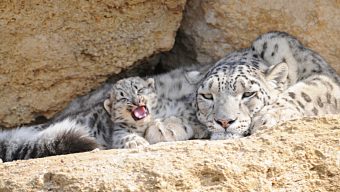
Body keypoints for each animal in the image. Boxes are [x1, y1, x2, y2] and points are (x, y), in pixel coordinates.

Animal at [195, 31, 338, 140]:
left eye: (248, 93)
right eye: (207, 96)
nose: (224, 121)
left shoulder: (325, 77)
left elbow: (305, 91)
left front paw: (267, 116)